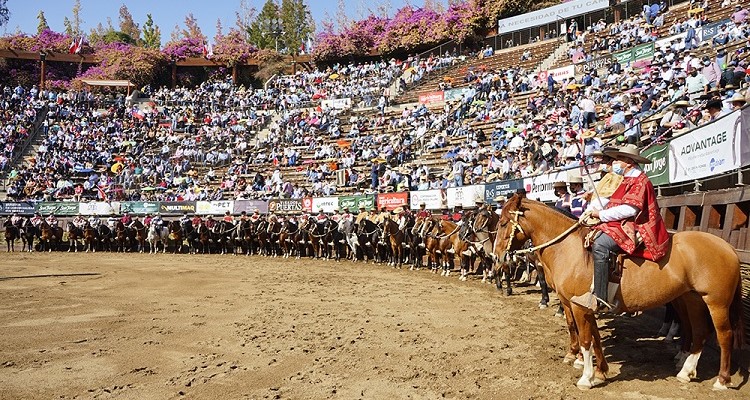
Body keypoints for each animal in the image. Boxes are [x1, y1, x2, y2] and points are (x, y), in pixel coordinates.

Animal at [494, 196, 748, 390]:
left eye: (503, 222)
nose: (497, 256)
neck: (570, 249)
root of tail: (728, 247)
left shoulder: (577, 306)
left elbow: (585, 339)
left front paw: (586, 377)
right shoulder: (587, 306)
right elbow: (595, 338)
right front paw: (600, 371)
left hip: (716, 303)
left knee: (724, 336)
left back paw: (721, 380)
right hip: (692, 299)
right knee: (699, 331)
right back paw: (686, 371)